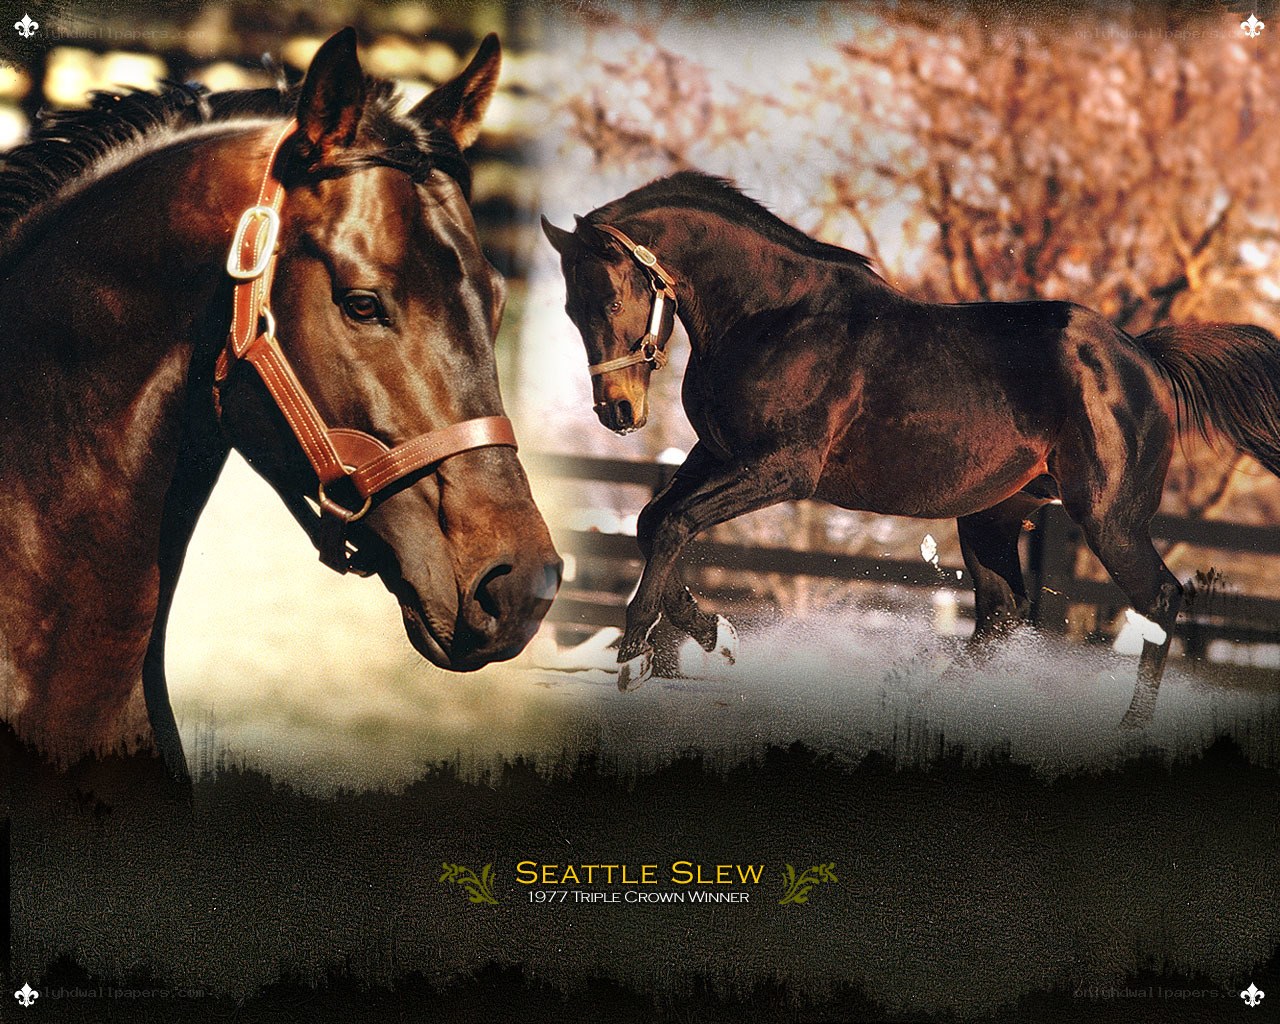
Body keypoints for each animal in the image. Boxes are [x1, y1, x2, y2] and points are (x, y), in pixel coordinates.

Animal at [542, 171, 1280, 726]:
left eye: (612, 297)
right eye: (572, 308)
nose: (619, 413)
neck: (771, 315)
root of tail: (1143, 357)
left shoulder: (783, 469)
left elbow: (673, 523)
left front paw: (640, 646)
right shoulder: (719, 454)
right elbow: (652, 522)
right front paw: (708, 631)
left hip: (1109, 518)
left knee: (1161, 600)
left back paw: (1130, 729)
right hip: (992, 516)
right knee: (1001, 618)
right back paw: (922, 705)